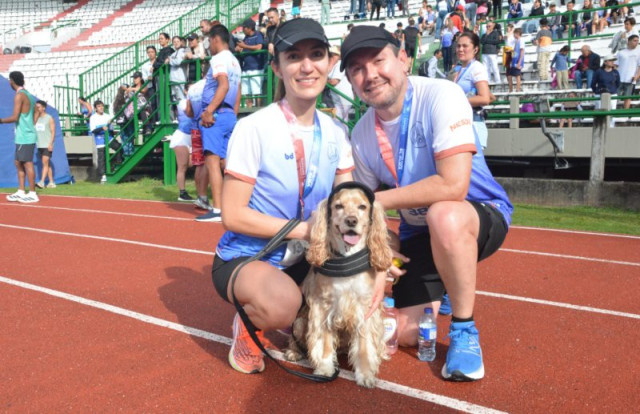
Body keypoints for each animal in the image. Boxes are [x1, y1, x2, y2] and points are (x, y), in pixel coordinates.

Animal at [284, 182, 393, 388]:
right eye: (338, 206)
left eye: (362, 207)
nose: (351, 221)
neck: (346, 258)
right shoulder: (322, 307)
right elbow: (324, 342)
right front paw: (325, 369)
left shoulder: (365, 309)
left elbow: (365, 346)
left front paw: (365, 374)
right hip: (300, 322)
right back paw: (293, 352)